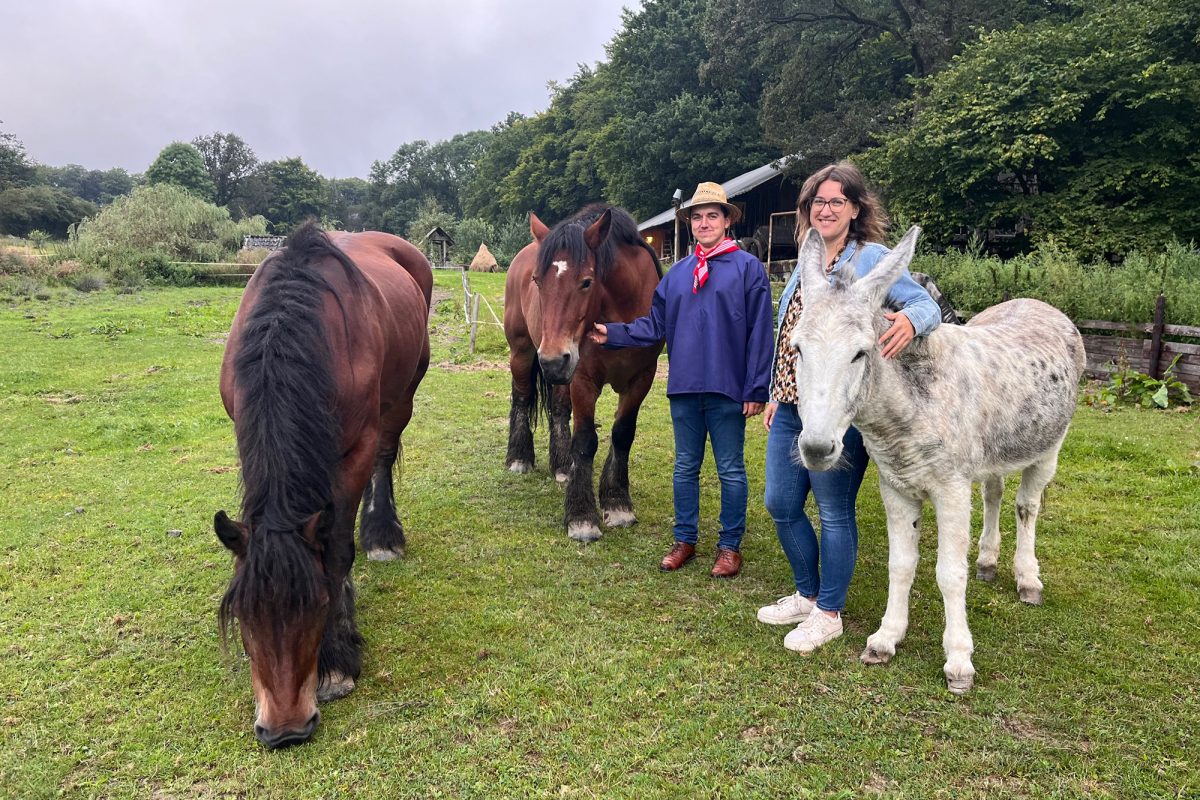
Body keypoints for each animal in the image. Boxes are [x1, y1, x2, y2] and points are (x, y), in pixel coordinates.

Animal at [214, 221, 432, 748]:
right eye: (243, 617)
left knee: (383, 458)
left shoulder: (354, 451)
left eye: (316, 606)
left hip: (402, 395)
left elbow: (335, 552)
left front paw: (336, 662)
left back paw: (381, 534)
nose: (285, 730)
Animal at [501, 203, 662, 542]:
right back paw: (520, 458)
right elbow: (586, 441)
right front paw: (582, 517)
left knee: (559, 410)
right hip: (524, 353)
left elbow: (622, 434)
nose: (550, 359)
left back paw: (563, 466)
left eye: (587, 282)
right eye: (537, 281)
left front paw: (617, 503)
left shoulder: (641, 379)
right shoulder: (584, 380)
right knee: (521, 398)